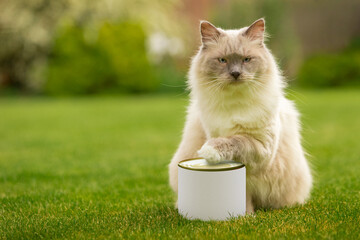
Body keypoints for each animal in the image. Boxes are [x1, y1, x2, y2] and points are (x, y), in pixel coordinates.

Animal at [169, 19, 312, 214]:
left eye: (246, 59)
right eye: (223, 60)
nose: (236, 74)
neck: (234, 102)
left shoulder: (261, 147)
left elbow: (235, 140)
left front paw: (209, 151)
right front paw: (243, 214)